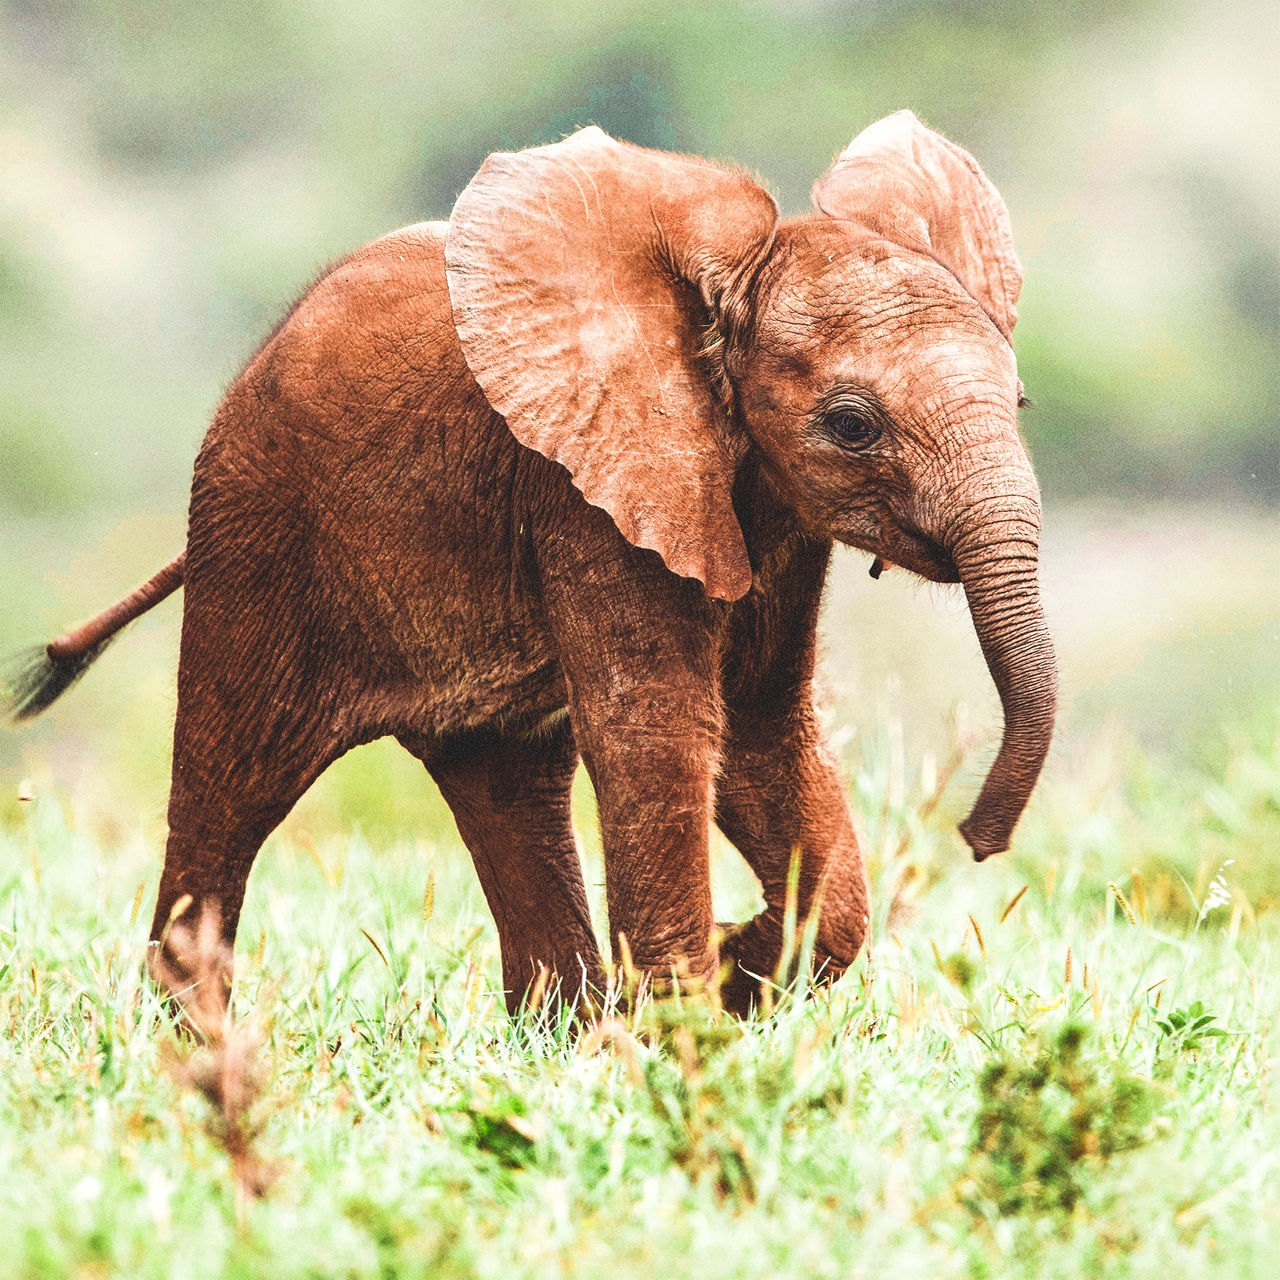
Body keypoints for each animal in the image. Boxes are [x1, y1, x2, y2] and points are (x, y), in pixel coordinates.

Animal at [5, 110, 1054, 1013]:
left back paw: (567, 1032)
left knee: (505, 783)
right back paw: (199, 1050)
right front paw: (691, 1022)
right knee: (230, 785)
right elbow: (656, 729)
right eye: (851, 424)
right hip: (256, 529)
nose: (975, 841)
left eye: (1021, 402)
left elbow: (760, 729)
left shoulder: (768, 515)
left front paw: (725, 971)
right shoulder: (584, 493)